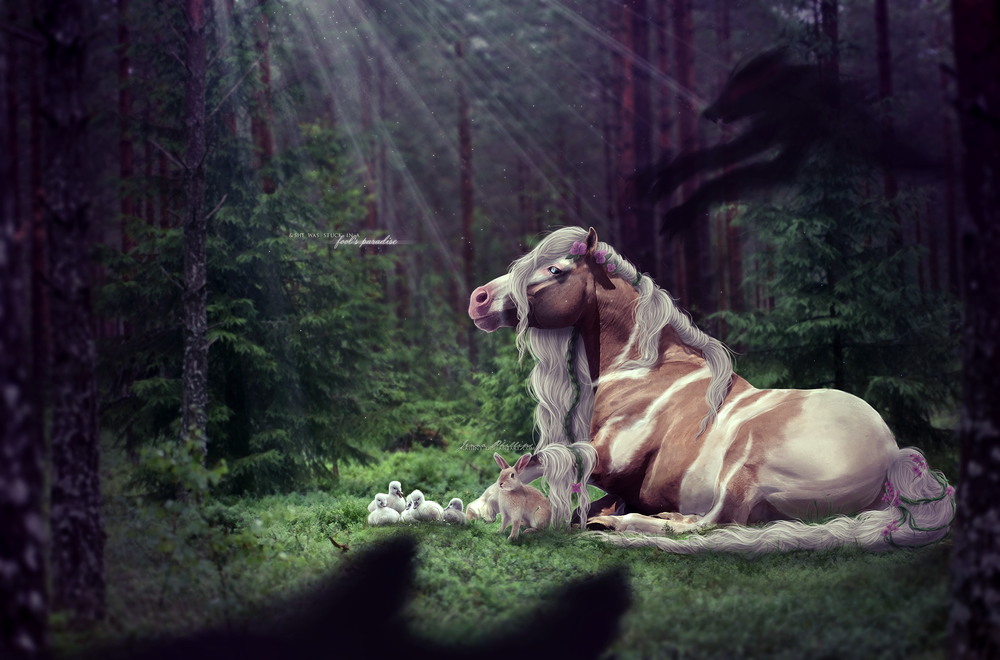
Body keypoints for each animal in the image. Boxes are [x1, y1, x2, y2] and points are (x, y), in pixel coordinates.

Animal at [466, 226, 955, 553]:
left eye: (555, 269)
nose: (479, 299)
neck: (644, 371)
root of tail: (892, 454)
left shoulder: (602, 457)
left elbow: (541, 461)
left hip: (745, 465)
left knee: (713, 524)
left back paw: (627, 526)